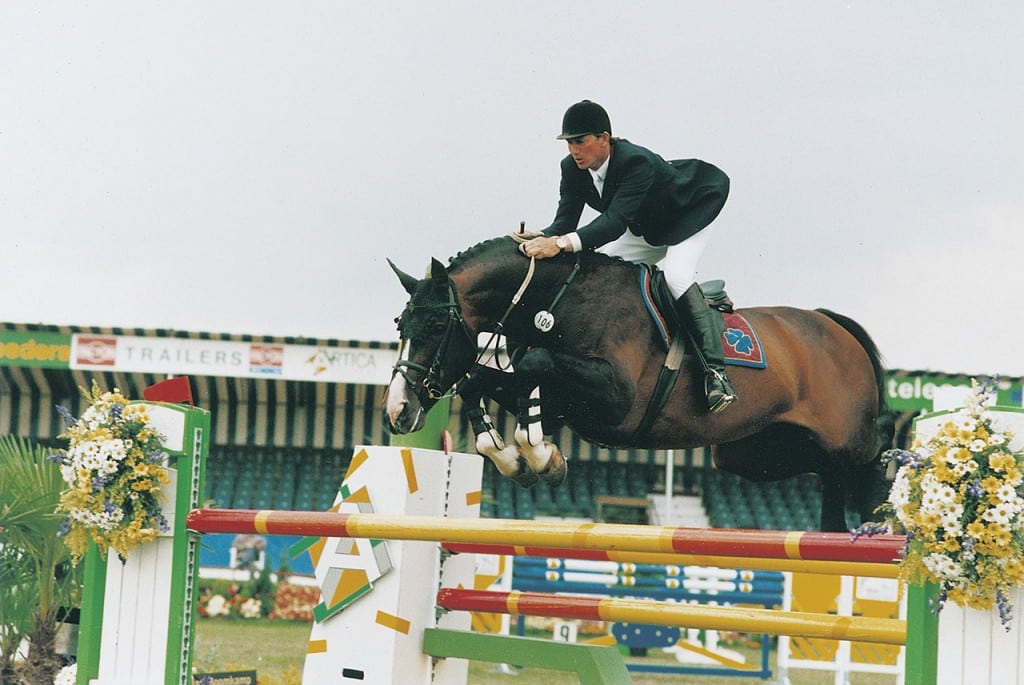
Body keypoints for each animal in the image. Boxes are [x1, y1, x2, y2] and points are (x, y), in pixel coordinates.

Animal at [380, 232, 892, 532]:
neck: (557, 301)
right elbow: (480, 383)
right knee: (828, 476)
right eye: (400, 326)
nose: (397, 412)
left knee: (873, 453)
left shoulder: (616, 401)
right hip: (753, 454)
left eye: (435, 327)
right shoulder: (567, 402)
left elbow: (533, 366)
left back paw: (888, 511)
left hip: (843, 436)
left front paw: (540, 455)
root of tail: (833, 325)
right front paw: (518, 458)